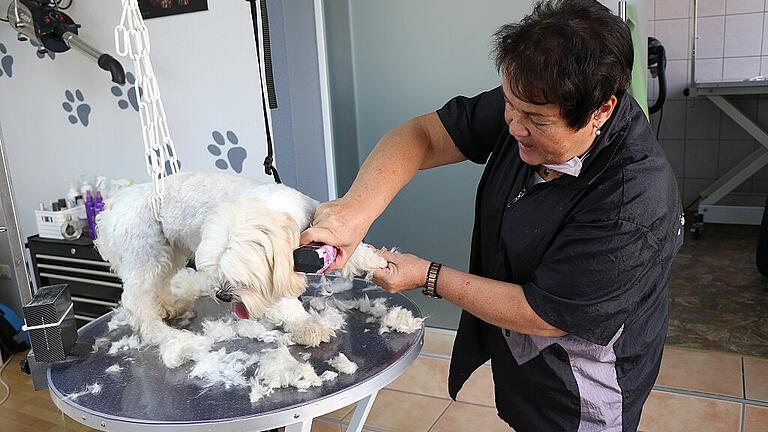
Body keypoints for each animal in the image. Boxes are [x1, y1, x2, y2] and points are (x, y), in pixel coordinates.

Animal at [96, 170, 384, 366]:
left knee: (161, 283)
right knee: (136, 302)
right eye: (217, 272)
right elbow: (284, 303)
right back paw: (163, 333)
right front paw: (305, 325)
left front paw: (375, 261)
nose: (223, 295)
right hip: (145, 253)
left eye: (241, 278)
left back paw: (170, 305)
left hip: (168, 251)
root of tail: (114, 205)